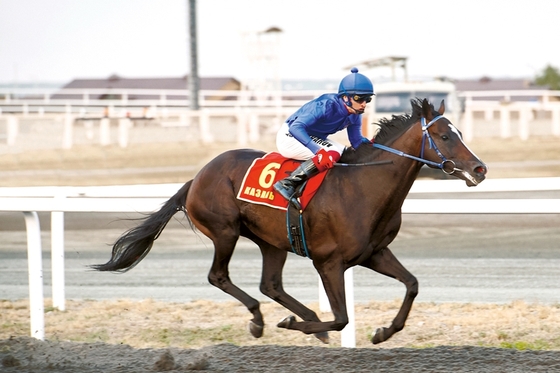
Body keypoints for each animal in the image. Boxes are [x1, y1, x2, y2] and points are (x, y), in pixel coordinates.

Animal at [92, 98, 486, 342]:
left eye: (460, 132)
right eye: (445, 135)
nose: (480, 169)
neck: (362, 187)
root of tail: (197, 177)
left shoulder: (374, 253)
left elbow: (412, 284)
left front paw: (382, 332)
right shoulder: (329, 262)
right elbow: (341, 317)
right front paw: (299, 324)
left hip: (271, 240)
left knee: (271, 285)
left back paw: (299, 317)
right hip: (225, 231)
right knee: (219, 276)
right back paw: (261, 320)